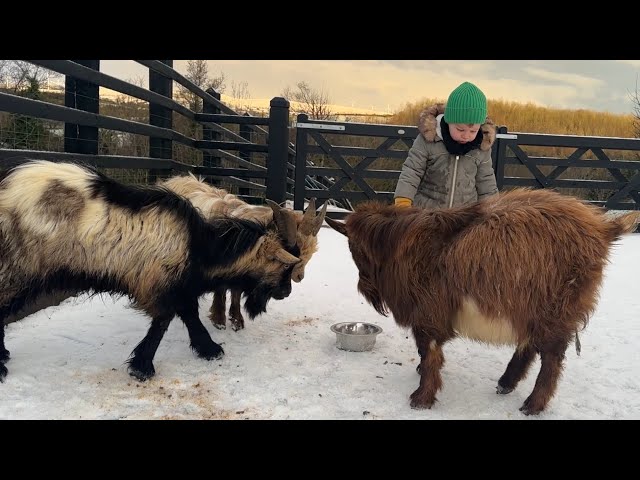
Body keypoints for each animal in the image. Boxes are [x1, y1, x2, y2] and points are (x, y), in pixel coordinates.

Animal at [328, 188, 640, 416]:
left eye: (354, 249)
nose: (364, 288)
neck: (405, 245)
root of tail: (601, 228)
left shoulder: (429, 313)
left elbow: (430, 354)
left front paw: (421, 398)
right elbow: (425, 353)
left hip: (556, 311)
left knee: (551, 359)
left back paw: (532, 405)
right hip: (530, 309)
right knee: (530, 345)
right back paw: (506, 384)